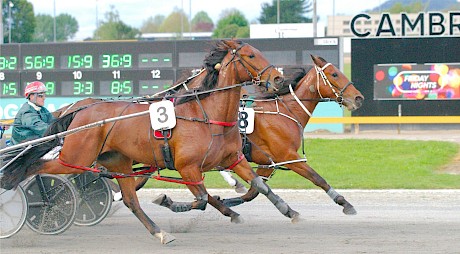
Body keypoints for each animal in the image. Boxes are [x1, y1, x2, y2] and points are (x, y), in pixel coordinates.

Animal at [0, 40, 300, 244]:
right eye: (250, 55)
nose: (277, 78)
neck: (206, 114)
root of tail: (80, 111)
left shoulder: (233, 159)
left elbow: (259, 185)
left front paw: (289, 210)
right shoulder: (187, 167)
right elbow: (202, 199)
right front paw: (167, 200)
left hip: (116, 160)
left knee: (131, 200)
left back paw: (160, 233)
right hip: (75, 158)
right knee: (35, 167)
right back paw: (16, 191)